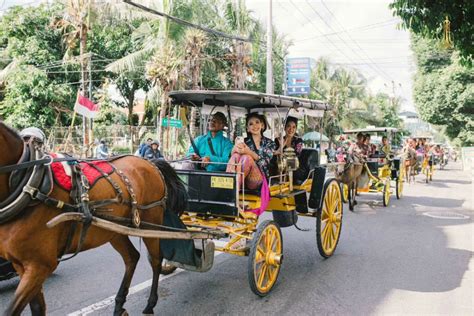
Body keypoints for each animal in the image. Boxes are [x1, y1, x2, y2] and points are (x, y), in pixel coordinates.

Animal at [0, 121, 188, 316]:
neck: (30, 185)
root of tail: (150, 163)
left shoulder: (41, 265)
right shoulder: (22, 265)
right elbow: (37, 308)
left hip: (152, 221)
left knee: (156, 259)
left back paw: (150, 304)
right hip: (114, 230)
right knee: (132, 257)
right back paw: (119, 304)